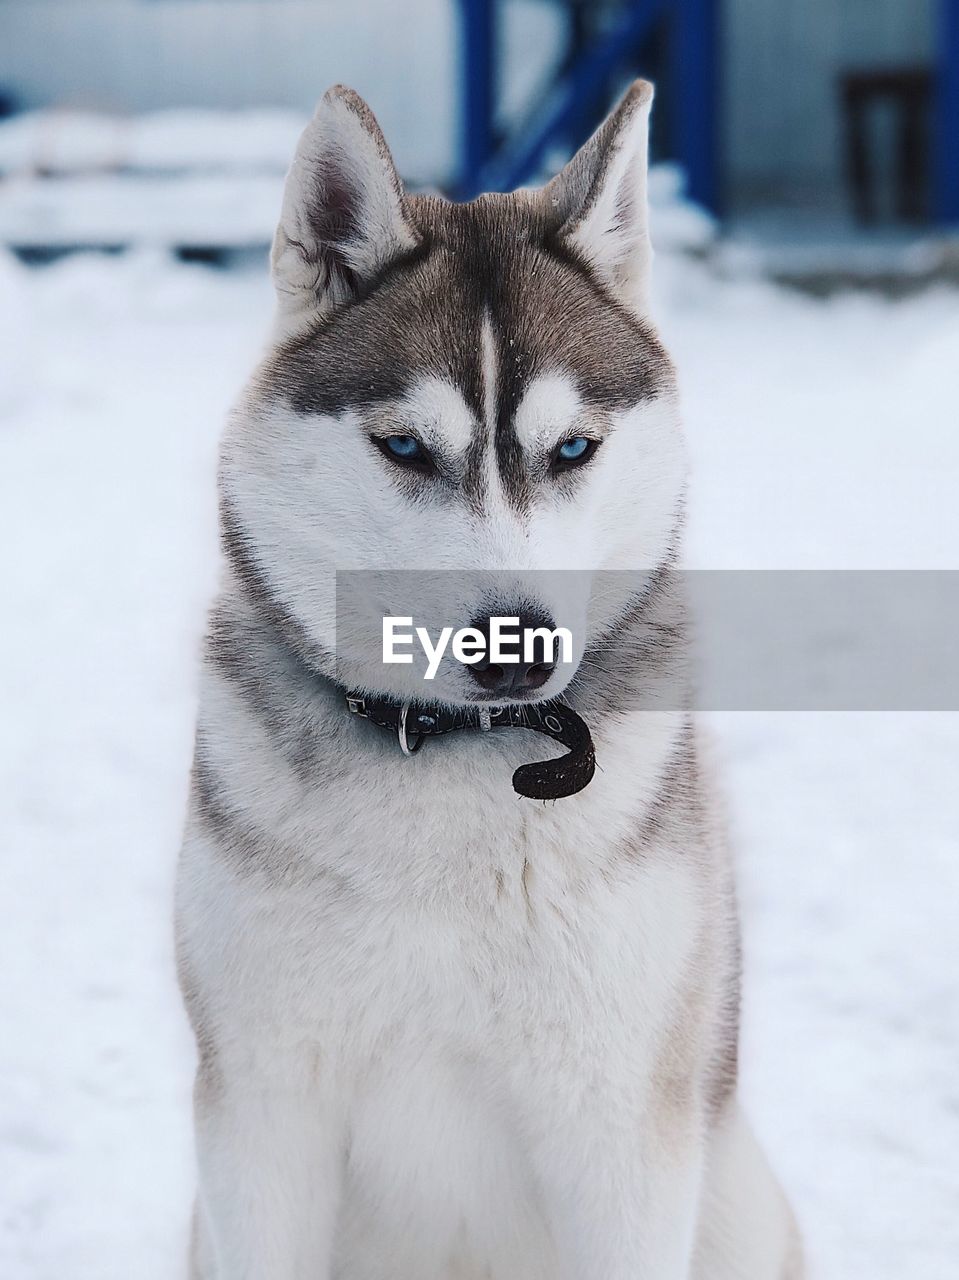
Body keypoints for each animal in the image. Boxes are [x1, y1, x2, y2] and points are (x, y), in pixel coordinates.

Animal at [174, 82, 798, 1280]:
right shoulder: (262, 1117)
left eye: (572, 450)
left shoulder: (619, 1130)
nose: (517, 644)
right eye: (406, 447)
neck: (452, 764)